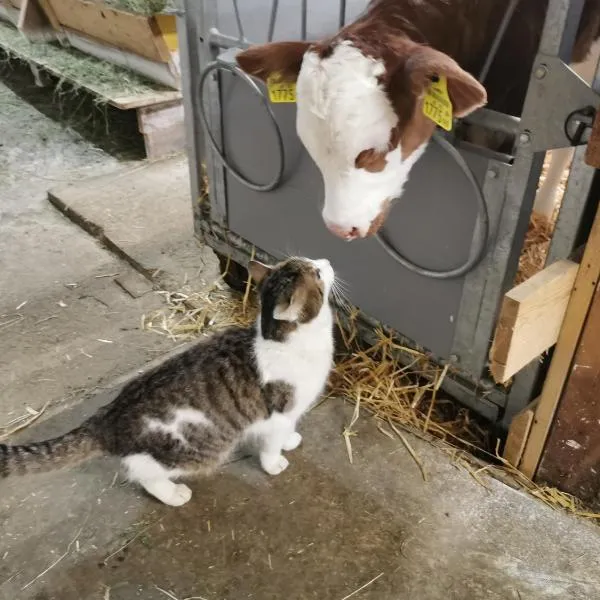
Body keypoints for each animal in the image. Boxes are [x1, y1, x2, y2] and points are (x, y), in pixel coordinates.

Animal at [0, 256, 338, 506]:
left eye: (315, 264)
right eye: (318, 273)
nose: (327, 259)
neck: (279, 339)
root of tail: (108, 416)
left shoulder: (288, 414)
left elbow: (288, 430)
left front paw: (290, 440)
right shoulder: (278, 414)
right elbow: (271, 444)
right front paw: (275, 462)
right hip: (193, 451)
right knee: (142, 472)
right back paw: (172, 494)